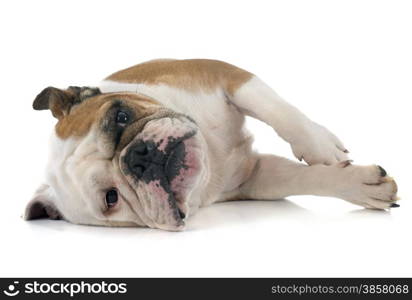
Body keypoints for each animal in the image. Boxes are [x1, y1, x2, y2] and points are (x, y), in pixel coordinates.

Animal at [24, 58, 398, 231]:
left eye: (121, 115)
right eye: (111, 198)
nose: (141, 158)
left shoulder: (223, 75)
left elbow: (278, 110)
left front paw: (319, 145)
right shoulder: (255, 178)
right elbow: (301, 178)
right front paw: (360, 185)